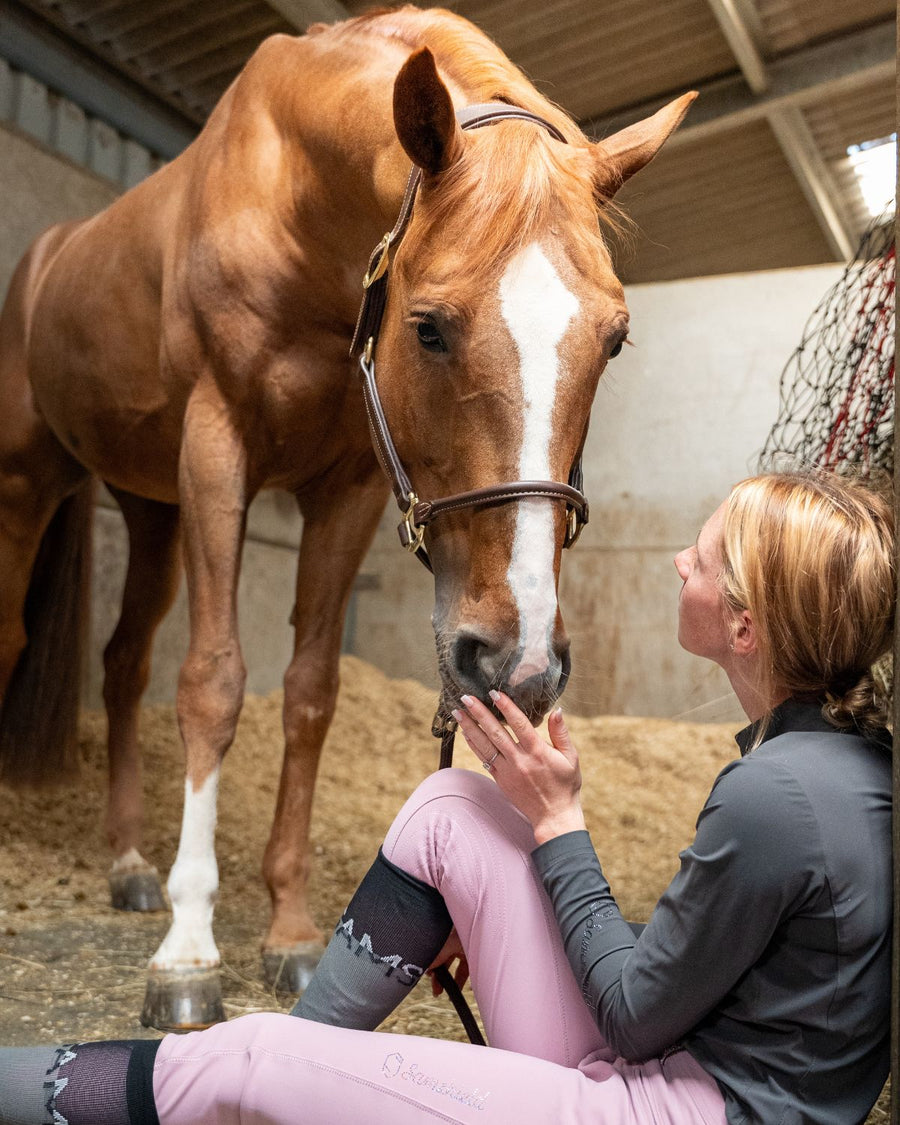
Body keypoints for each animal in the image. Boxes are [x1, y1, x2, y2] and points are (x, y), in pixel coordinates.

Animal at [0, 5, 692, 1030]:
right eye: (429, 326)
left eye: (614, 339)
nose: (519, 661)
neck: (290, 201)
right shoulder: (217, 448)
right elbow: (213, 682)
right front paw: (188, 947)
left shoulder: (350, 486)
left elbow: (310, 694)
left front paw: (287, 928)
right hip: (33, 481)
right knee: (19, 633)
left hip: (150, 507)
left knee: (123, 664)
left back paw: (128, 862)